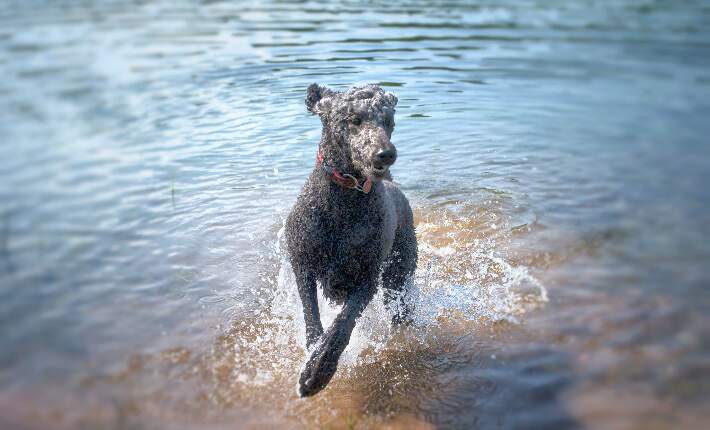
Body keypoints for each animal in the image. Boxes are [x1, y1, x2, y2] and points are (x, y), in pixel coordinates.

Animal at [286, 83, 418, 396]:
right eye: (355, 119)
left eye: (389, 122)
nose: (386, 154)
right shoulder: (302, 264)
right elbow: (312, 316)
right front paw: (313, 353)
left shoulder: (367, 279)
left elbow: (341, 326)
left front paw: (318, 371)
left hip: (397, 278)